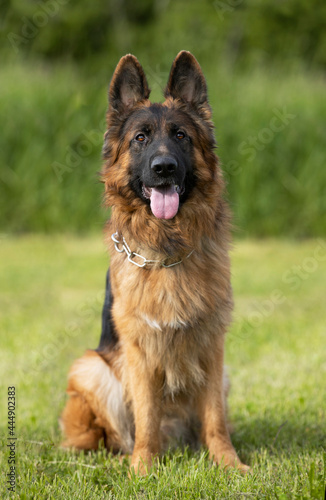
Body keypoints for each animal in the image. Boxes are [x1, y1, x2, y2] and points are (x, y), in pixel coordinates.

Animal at [59, 51, 248, 476]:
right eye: (140, 138)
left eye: (180, 136)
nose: (163, 168)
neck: (169, 249)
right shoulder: (140, 350)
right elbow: (145, 416)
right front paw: (143, 468)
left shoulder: (213, 347)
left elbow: (214, 417)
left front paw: (228, 463)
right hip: (90, 368)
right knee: (105, 436)